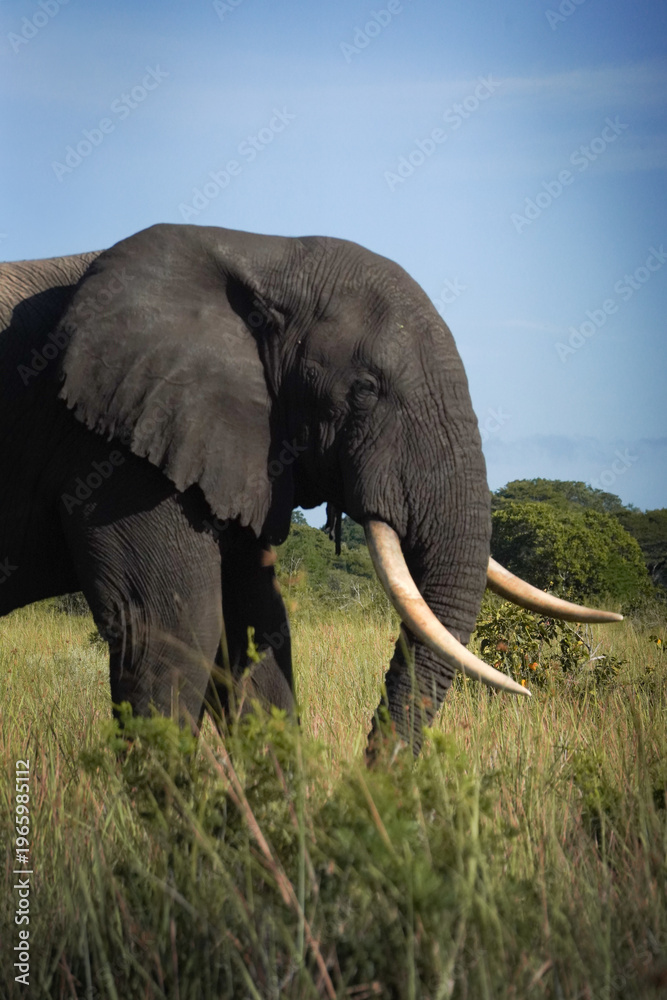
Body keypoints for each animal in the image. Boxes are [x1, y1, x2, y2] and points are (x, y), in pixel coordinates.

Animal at [0, 224, 622, 753]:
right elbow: (168, 629)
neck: (259, 252)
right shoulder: (116, 451)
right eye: (366, 390)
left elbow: (255, 632)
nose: (373, 779)